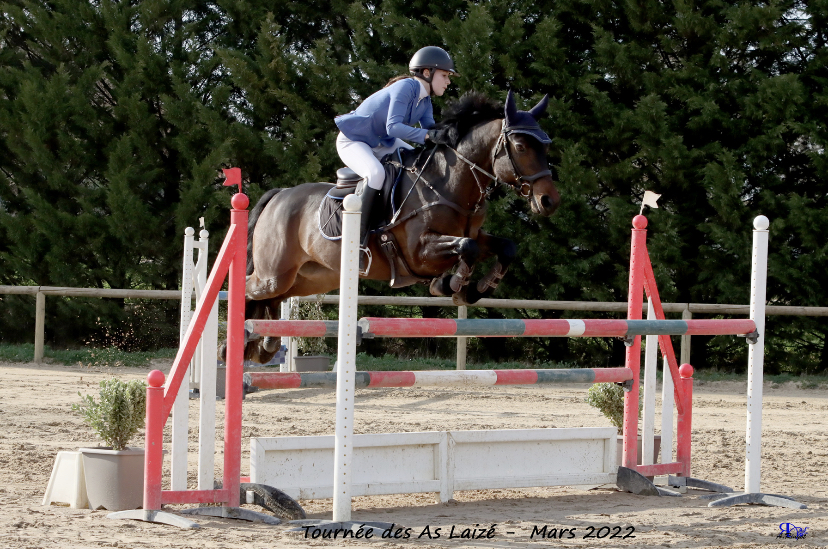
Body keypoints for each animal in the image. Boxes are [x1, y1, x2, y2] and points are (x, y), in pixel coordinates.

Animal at [243, 91, 560, 364]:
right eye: (520, 147)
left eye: (545, 146)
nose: (549, 201)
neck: (447, 183)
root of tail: (280, 194)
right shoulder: (419, 252)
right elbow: (465, 249)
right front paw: (451, 284)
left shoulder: (474, 236)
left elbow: (505, 247)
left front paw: (475, 289)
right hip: (274, 274)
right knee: (250, 289)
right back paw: (244, 339)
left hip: (313, 277)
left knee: (275, 298)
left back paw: (264, 344)